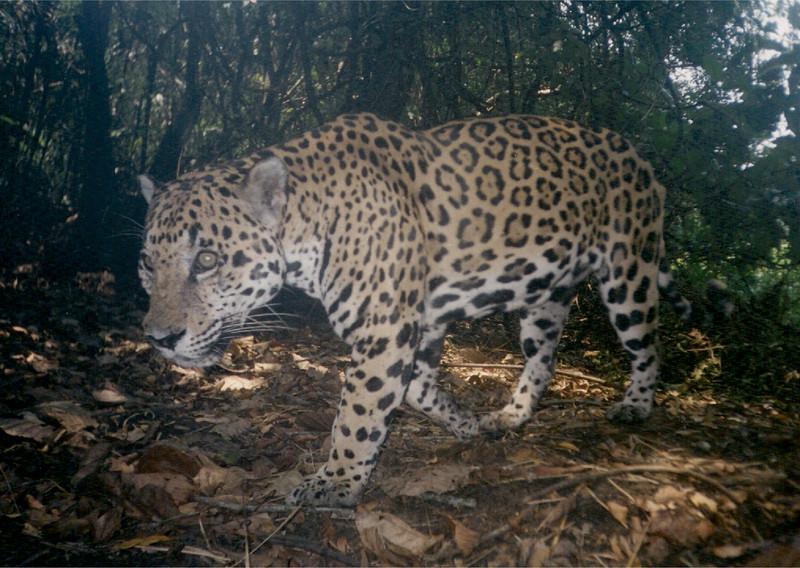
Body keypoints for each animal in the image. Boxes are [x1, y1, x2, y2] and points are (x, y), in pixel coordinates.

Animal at [138, 113, 728, 507]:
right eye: (146, 263)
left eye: (207, 259)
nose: (159, 339)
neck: (309, 221)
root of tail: (636, 155)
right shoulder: (415, 328)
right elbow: (416, 391)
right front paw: (464, 424)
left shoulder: (384, 331)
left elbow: (358, 412)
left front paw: (336, 483)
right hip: (545, 297)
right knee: (544, 358)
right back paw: (509, 417)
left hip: (629, 272)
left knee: (650, 345)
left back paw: (636, 405)